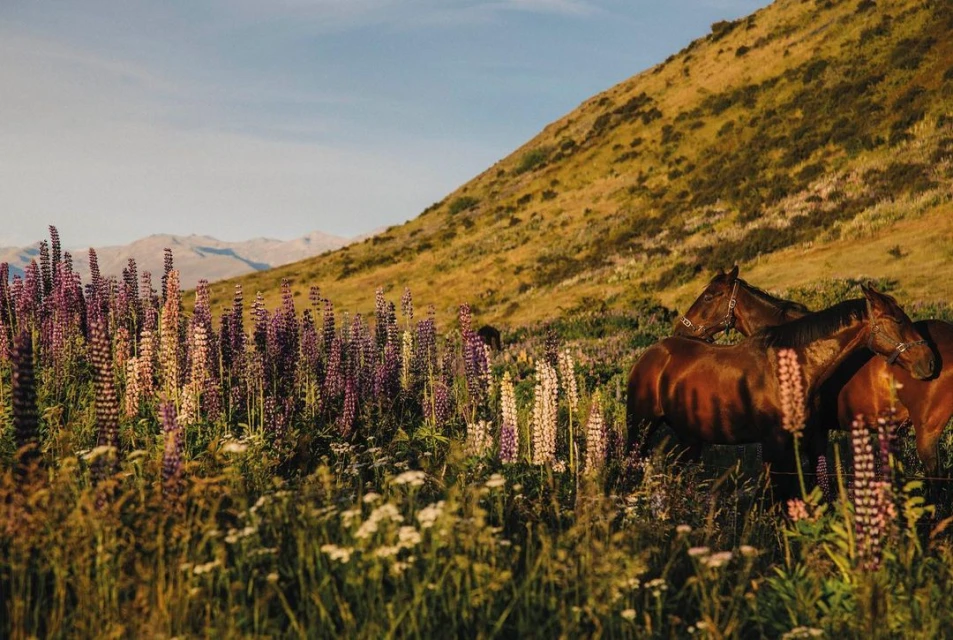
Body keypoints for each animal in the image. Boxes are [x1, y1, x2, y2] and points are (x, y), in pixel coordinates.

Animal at [627, 285, 935, 499]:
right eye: (898, 321)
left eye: (710, 296)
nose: (929, 361)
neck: (790, 369)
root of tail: (651, 354)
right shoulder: (775, 444)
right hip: (642, 428)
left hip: (689, 439)